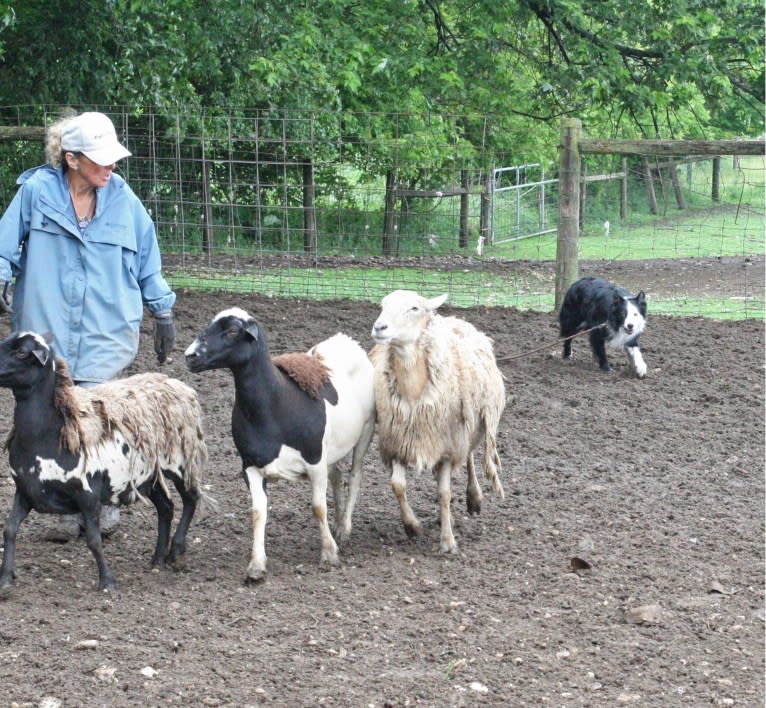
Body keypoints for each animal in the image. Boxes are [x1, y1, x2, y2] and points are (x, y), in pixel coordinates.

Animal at [0, 330, 208, 592]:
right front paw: (6, 579)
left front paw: (107, 581)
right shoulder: (25, 490)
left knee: (190, 499)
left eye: (21, 352)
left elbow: (94, 540)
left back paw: (176, 552)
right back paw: (158, 558)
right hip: (147, 476)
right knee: (166, 507)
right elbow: (9, 529)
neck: (49, 433)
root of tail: (176, 384)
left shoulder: (88, 496)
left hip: (180, 462)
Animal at [186, 306, 378, 584]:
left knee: (355, 477)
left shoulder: (314, 460)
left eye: (232, 330)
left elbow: (318, 507)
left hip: (366, 429)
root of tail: (345, 340)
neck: (274, 405)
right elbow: (258, 513)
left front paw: (329, 554)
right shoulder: (250, 466)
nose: (190, 355)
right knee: (337, 475)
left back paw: (344, 528)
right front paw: (256, 565)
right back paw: (338, 523)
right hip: (332, 448)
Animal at [370, 290, 508, 556]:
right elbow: (397, 486)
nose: (379, 327)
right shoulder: (398, 442)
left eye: (414, 308)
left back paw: (474, 498)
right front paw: (412, 526)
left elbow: (445, 493)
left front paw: (448, 541)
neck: (413, 393)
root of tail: (456, 319)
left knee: (469, 458)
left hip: (467, 428)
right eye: (382, 305)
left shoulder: (448, 447)